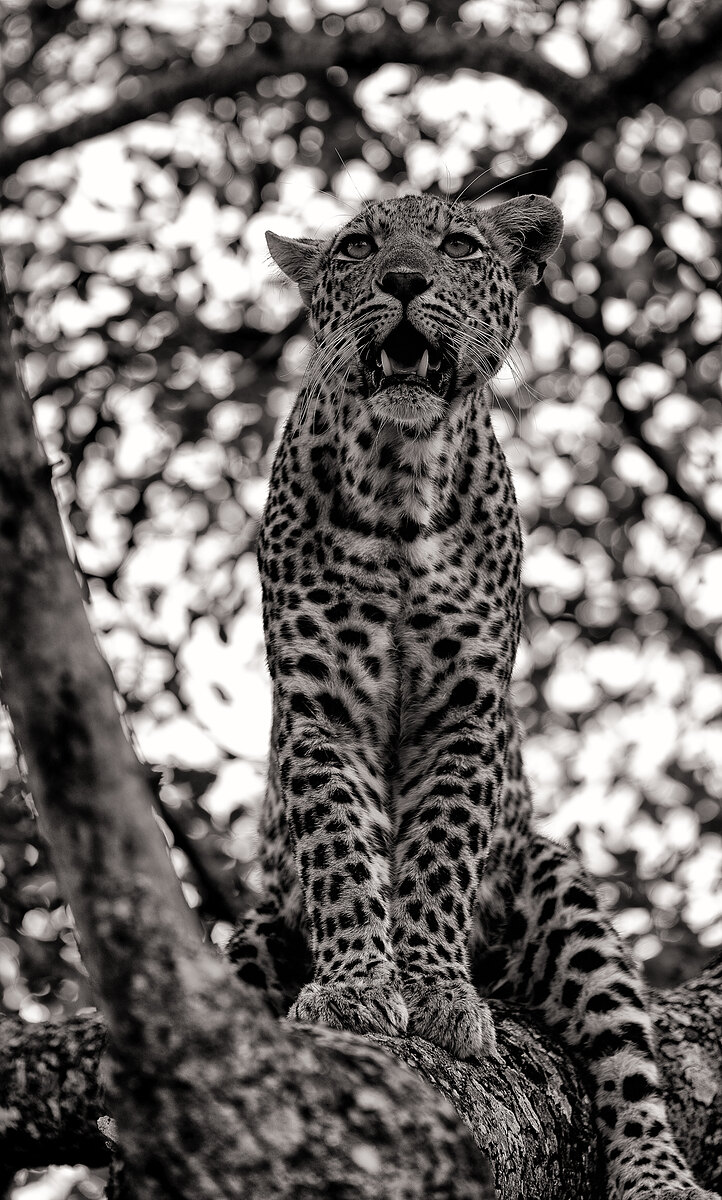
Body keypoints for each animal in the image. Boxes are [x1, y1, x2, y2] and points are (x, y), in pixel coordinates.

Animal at [228, 192, 718, 1200]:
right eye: (357, 247)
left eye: (457, 244)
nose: (405, 280)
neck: (398, 478)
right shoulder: (321, 709)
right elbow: (343, 851)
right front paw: (356, 984)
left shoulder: (464, 713)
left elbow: (437, 859)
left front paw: (437, 991)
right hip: (256, 932)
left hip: (559, 889)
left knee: (630, 1065)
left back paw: (659, 1175)